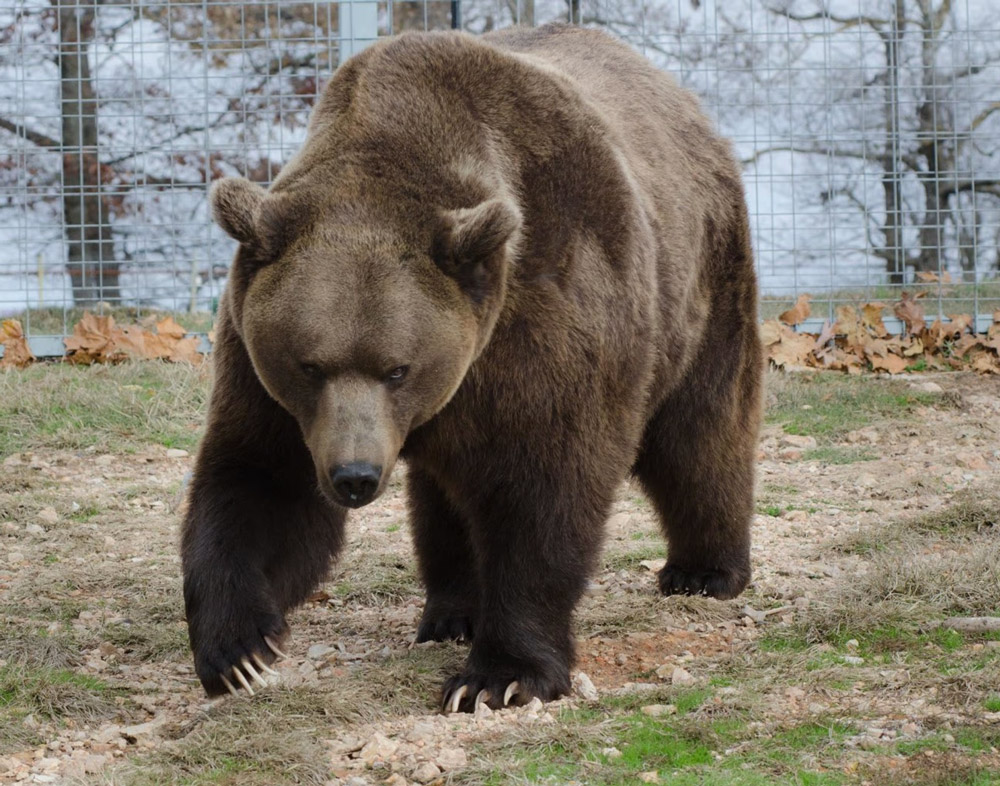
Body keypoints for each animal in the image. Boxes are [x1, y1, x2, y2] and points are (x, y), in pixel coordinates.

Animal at [182, 23, 756, 712]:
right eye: (311, 365)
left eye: (397, 368)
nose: (355, 477)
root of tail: (682, 100)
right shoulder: (266, 376)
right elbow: (261, 481)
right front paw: (238, 648)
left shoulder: (550, 315)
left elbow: (546, 489)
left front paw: (498, 676)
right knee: (443, 496)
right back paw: (451, 612)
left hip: (702, 279)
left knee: (698, 431)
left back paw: (705, 570)